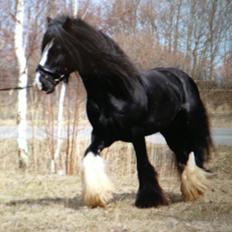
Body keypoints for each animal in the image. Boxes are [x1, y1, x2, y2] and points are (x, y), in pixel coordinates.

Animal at [35, 16, 212, 208]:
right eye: (44, 46)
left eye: (59, 49)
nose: (40, 82)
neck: (115, 93)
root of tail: (182, 77)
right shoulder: (102, 135)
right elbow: (89, 157)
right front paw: (98, 196)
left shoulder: (137, 134)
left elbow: (143, 165)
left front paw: (149, 200)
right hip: (170, 131)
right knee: (183, 154)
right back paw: (190, 190)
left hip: (188, 126)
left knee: (193, 152)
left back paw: (195, 188)